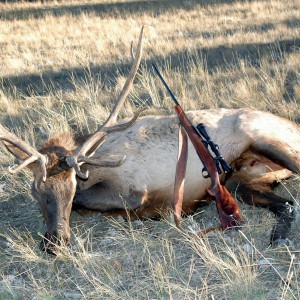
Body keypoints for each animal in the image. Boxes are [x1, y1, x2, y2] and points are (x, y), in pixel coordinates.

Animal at [0, 32, 298, 253]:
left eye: (72, 187)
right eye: (36, 192)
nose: (55, 242)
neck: (96, 163)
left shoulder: (134, 188)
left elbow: (98, 202)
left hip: (266, 142)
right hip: (238, 181)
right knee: (286, 204)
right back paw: (278, 236)